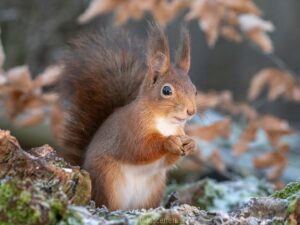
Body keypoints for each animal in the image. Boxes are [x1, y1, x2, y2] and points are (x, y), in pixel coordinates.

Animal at [59, 24, 198, 211]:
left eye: (194, 89)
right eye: (167, 90)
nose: (191, 111)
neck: (165, 123)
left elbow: (167, 162)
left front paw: (190, 144)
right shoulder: (132, 131)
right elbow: (141, 149)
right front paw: (168, 142)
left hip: (154, 188)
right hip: (108, 180)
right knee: (108, 202)